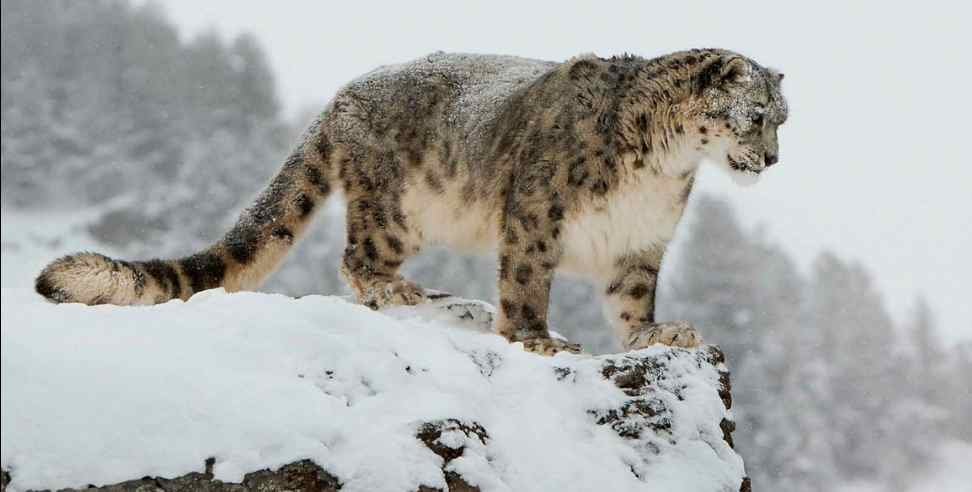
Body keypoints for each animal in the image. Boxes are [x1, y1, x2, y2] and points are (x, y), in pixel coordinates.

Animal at [34, 49, 784, 354]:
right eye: (755, 116)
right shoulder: (537, 213)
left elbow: (632, 301)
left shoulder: (639, 241)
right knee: (354, 257)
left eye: (784, 118)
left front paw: (657, 334)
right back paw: (398, 290)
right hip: (394, 208)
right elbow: (526, 280)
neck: (665, 168)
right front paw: (537, 338)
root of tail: (343, 95)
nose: (773, 160)